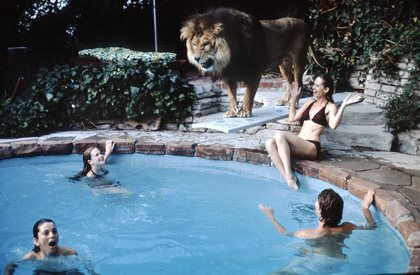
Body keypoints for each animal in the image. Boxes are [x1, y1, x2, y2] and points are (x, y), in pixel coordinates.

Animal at [180, 7, 322, 117]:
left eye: (205, 44)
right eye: (194, 44)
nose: (196, 58)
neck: (230, 55)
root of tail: (303, 23)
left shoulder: (254, 72)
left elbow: (248, 95)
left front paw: (245, 112)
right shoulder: (229, 75)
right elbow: (231, 96)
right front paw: (232, 112)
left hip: (298, 60)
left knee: (298, 83)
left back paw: (294, 104)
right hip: (283, 64)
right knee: (290, 82)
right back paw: (285, 101)